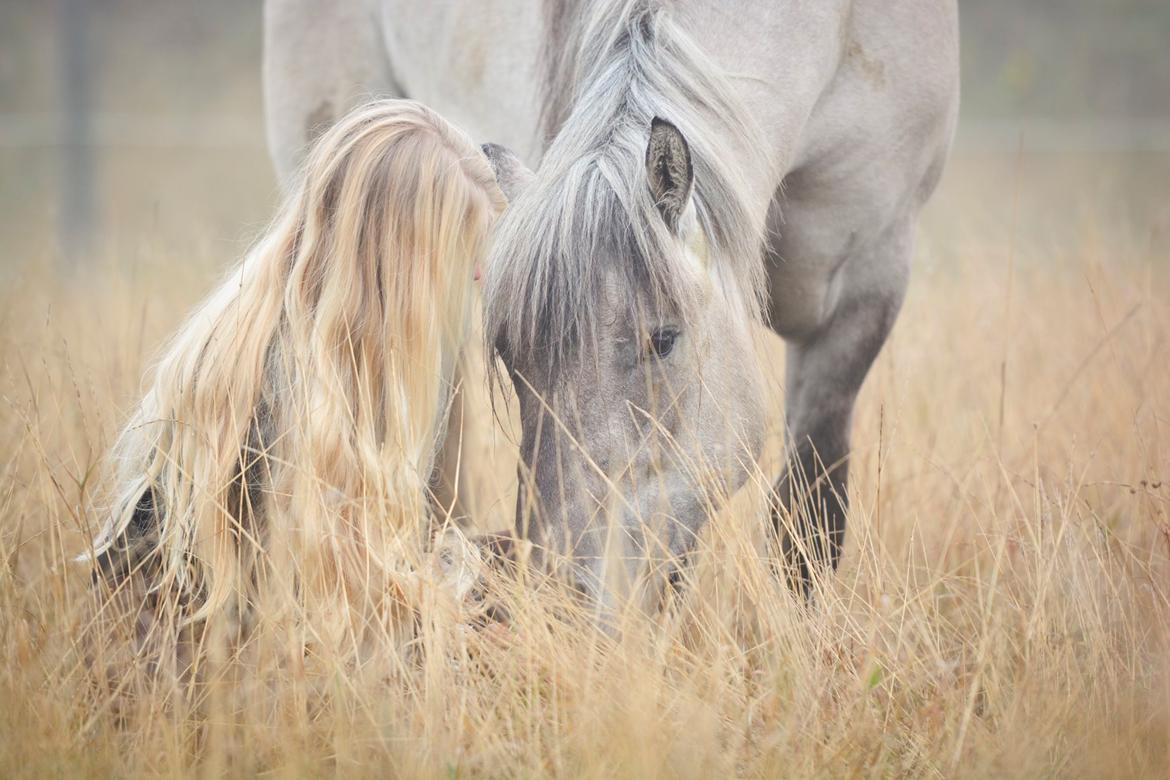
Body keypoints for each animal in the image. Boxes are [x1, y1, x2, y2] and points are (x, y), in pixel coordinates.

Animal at [265, 0, 959, 603]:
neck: (833, 27)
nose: (564, 592)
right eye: (512, 360)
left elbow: (809, 528)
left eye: (664, 339)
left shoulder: (864, 286)